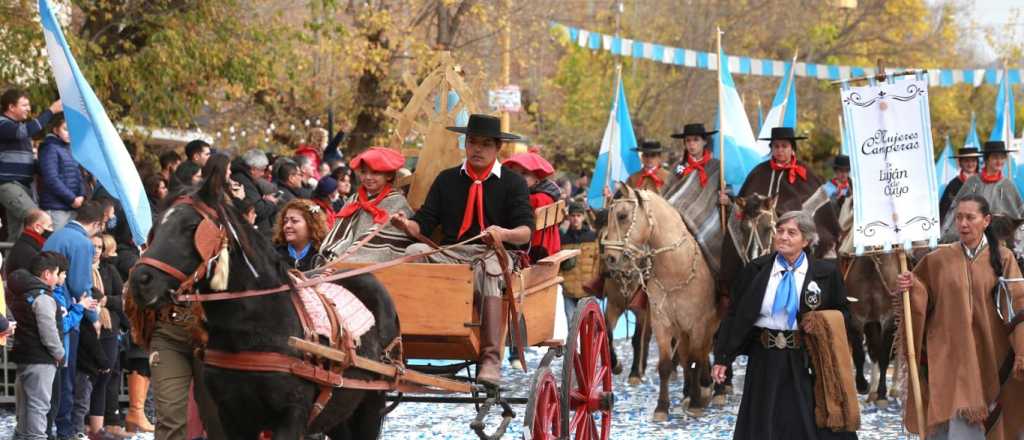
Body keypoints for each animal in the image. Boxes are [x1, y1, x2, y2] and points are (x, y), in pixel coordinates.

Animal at [602, 187, 716, 421]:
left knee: (701, 354)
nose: (609, 259)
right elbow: (666, 364)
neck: (677, 268)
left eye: (622, 215)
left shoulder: (699, 323)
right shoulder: (662, 321)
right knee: (686, 356)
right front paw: (662, 407)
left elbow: (697, 358)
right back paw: (690, 391)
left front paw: (697, 402)